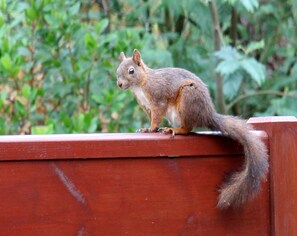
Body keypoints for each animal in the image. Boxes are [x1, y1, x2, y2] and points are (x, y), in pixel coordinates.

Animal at [115, 48, 268, 209]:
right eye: (117, 70)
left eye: (131, 71)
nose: (119, 84)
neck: (141, 84)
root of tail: (207, 114)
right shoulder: (146, 106)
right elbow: (152, 117)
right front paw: (147, 129)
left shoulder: (158, 99)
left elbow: (156, 117)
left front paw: (151, 129)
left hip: (187, 98)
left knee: (188, 128)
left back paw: (175, 130)